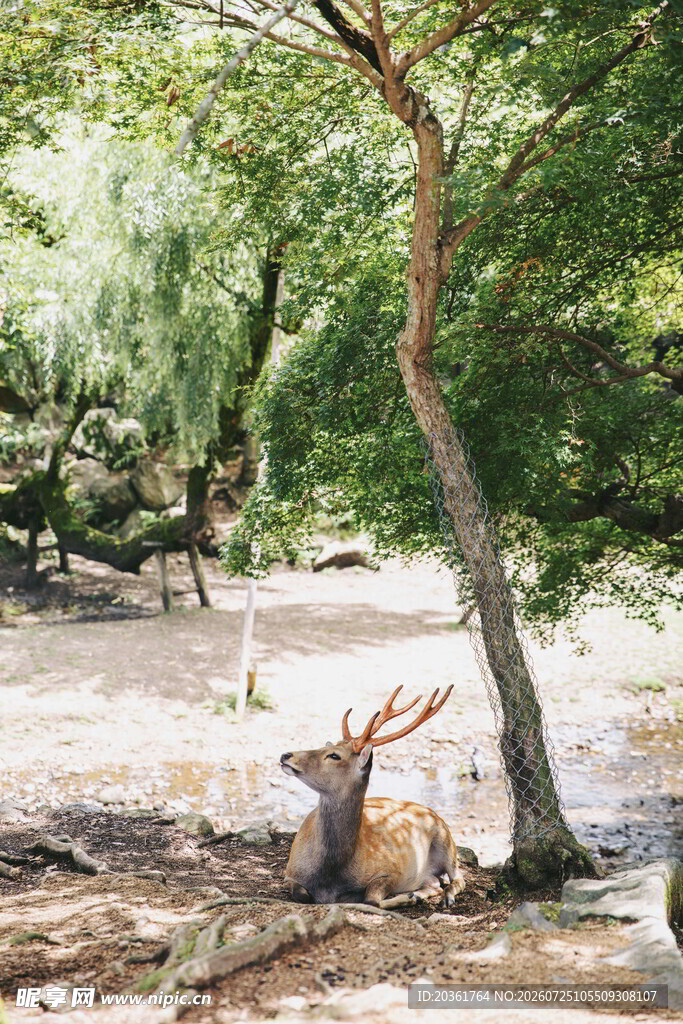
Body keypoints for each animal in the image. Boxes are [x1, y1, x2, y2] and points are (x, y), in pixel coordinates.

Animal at [279, 685, 465, 909]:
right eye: (324, 747)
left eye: (334, 755)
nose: (286, 755)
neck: (330, 875)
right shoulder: (290, 872)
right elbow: (301, 895)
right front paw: (411, 896)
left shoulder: (391, 870)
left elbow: (371, 900)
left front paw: (405, 898)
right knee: (435, 883)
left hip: (446, 840)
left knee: (458, 878)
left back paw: (442, 897)